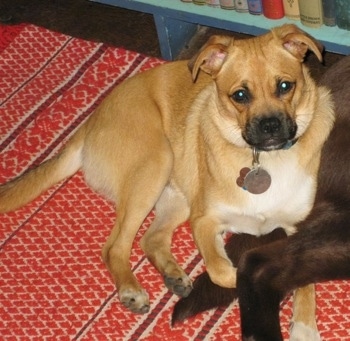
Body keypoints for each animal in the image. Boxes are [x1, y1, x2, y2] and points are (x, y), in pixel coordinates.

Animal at [0, 23, 334, 326]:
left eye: (285, 86)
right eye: (240, 95)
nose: (270, 127)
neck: (266, 159)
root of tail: (89, 122)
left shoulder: (298, 229)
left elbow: (305, 285)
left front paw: (304, 327)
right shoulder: (204, 220)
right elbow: (222, 270)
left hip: (176, 191)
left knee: (151, 238)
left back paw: (172, 275)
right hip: (156, 164)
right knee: (114, 247)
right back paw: (131, 290)